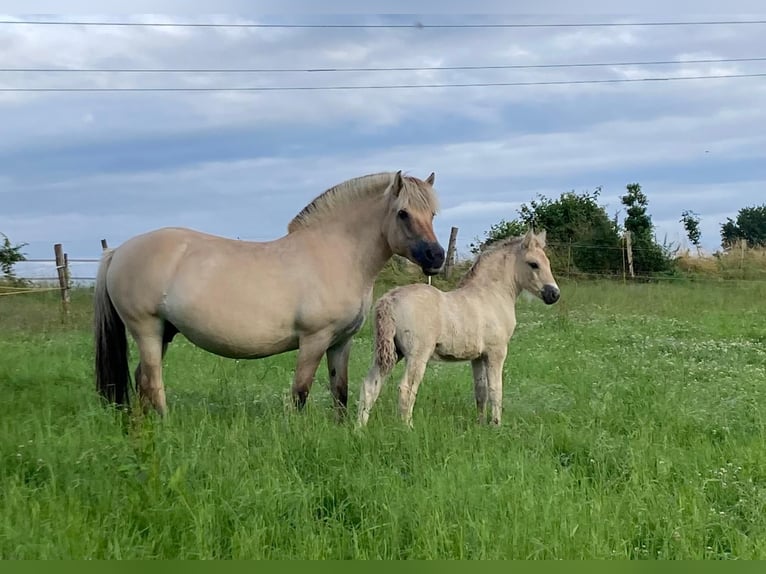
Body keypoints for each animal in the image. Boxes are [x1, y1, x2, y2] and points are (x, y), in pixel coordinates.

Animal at [94, 171, 448, 418]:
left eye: (431, 214)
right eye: (403, 213)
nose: (436, 257)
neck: (335, 253)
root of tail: (118, 251)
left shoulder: (340, 342)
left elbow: (341, 392)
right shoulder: (314, 340)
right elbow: (300, 393)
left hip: (163, 333)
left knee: (141, 381)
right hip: (147, 330)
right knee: (153, 384)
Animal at [356, 230, 560, 428]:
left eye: (547, 263)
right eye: (533, 264)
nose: (554, 294)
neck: (492, 294)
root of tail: (390, 299)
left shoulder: (478, 357)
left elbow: (481, 391)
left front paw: (480, 424)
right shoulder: (496, 352)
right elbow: (496, 389)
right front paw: (496, 425)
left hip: (390, 353)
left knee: (369, 385)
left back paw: (360, 429)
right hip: (417, 355)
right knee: (406, 389)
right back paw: (408, 429)